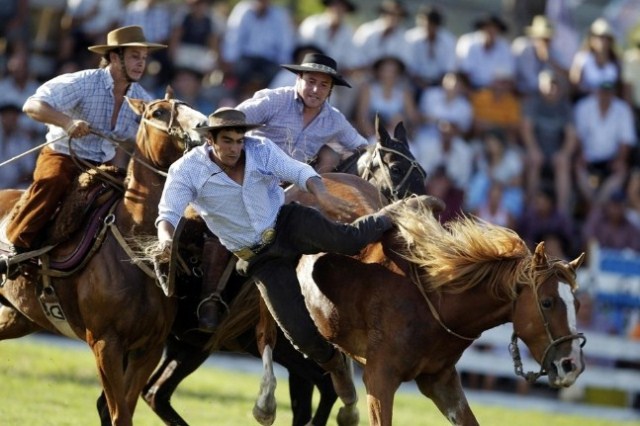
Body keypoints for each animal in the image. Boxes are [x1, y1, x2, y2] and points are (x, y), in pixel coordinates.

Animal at [0, 91, 206, 424]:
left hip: (19, 317)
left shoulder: (148, 349)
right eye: (159, 112)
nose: (204, 126)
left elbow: (126, 409)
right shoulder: (105, 343)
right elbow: (119, 413)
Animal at [254, 174, 584, 426]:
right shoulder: (380, 378)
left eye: (577, 304)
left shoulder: (440, 380)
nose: (572, 366)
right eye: (547, 302)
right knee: (268, 335)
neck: (433, 299)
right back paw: (266, 403)